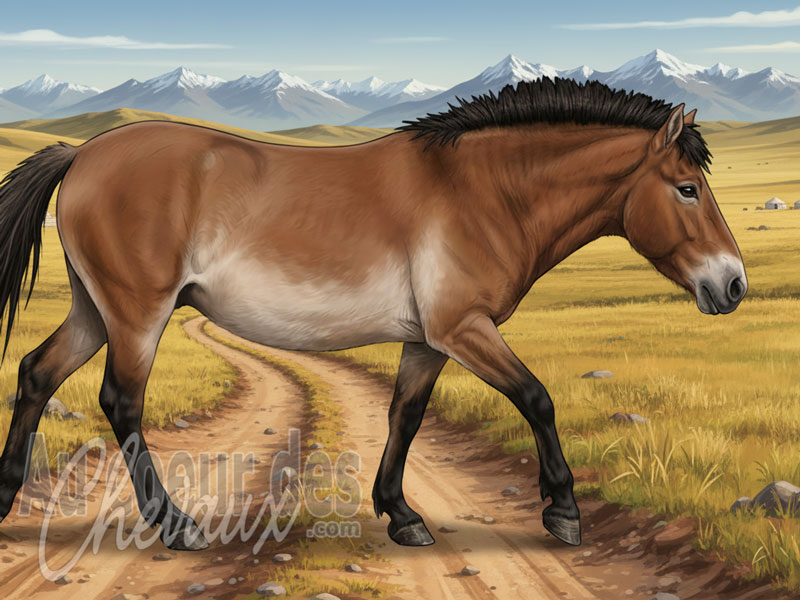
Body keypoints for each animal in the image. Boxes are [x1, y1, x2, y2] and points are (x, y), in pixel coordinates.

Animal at [0, 78, 747, 551]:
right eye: (687, 189)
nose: (734, 285)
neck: (482, 190)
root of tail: (84, 152)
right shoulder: (463, 328)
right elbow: (537, 397)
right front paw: (562, 512)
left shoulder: (429, 341)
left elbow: (405, 415)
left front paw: (401, 515)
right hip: (137, 315)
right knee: (120, 400)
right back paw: (177, 525)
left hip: (94, 310)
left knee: (36, 372)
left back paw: (7, 498)